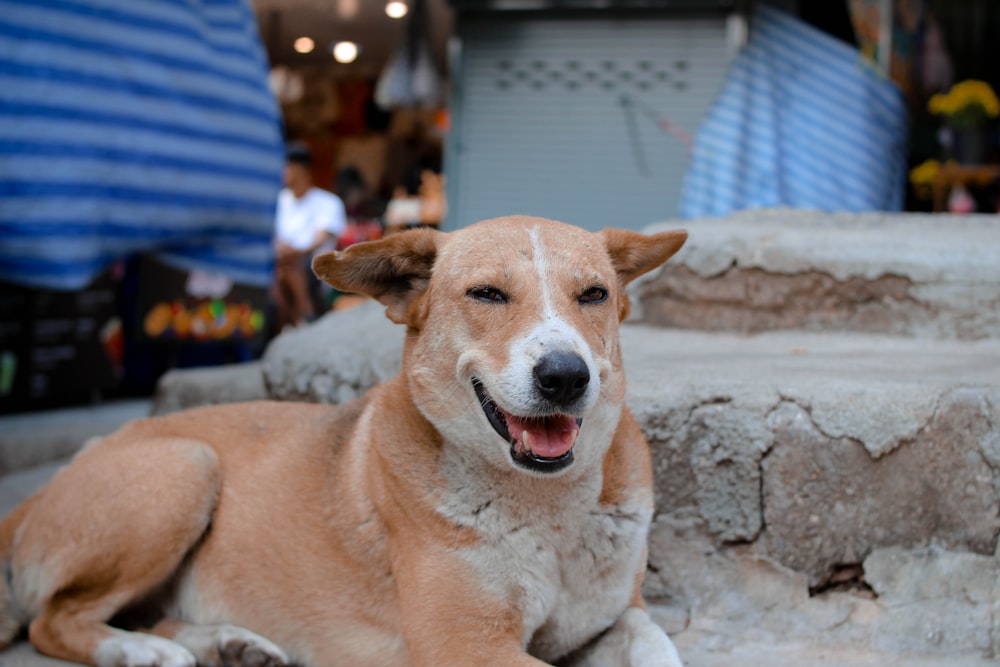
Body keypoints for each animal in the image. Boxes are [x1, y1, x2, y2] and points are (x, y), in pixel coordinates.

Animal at [0, 217, 688, 664]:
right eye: (488, 294)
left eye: (594, 294)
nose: (566, 376)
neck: (547, 504)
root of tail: (43, 490)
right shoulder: (467, 645)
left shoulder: (615, 617)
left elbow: (656, 644)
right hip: (185, 467)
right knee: (51, 622)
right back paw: (140, 651)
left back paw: (227, 645)